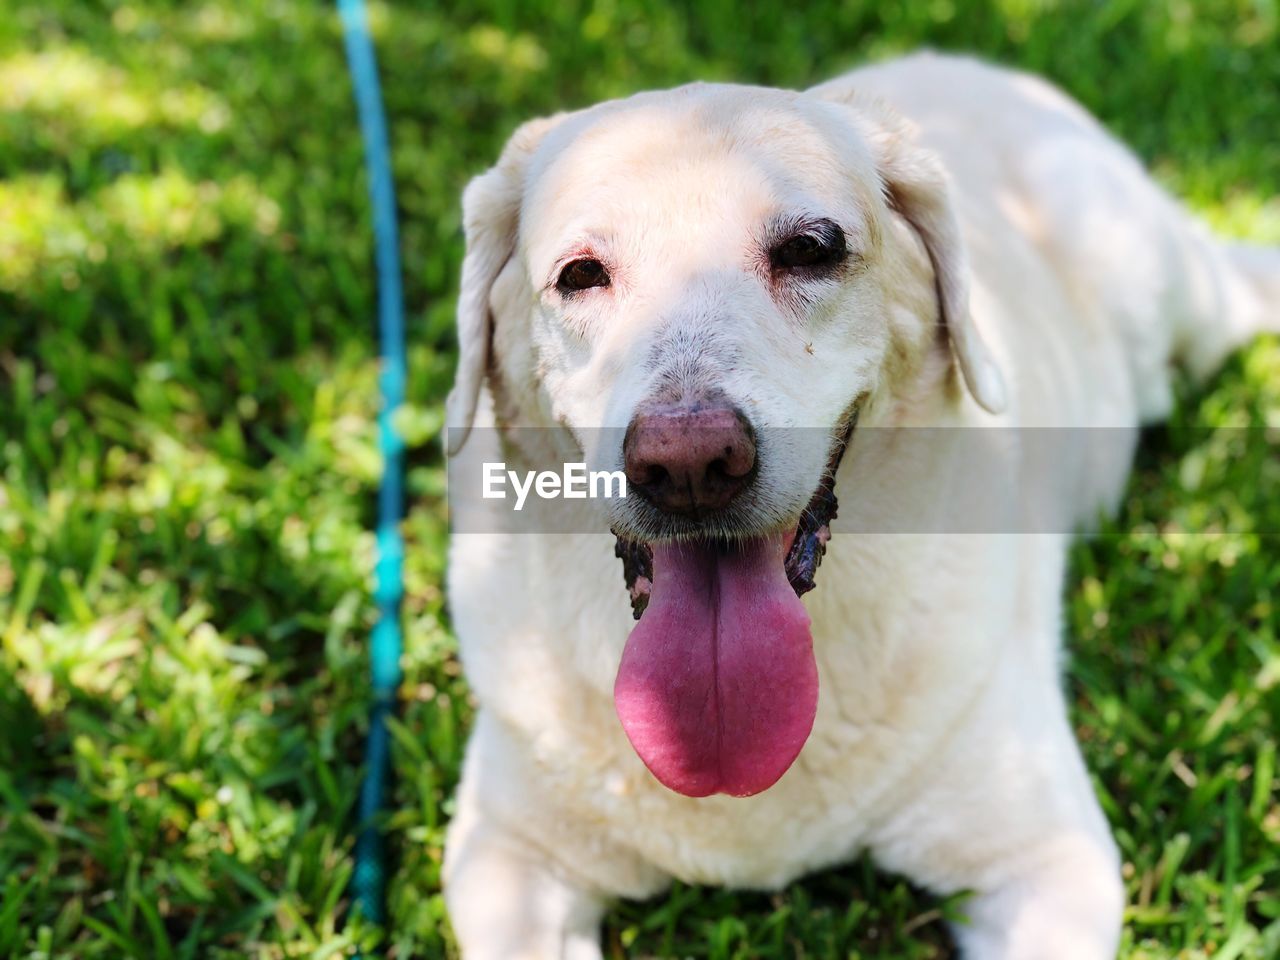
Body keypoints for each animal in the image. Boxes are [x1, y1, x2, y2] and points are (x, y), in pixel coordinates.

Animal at [437, 54, 1269, 960]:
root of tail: (978, 67)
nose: (689, 464)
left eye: (811, 249)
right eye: (580, 274)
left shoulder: (1048, 859)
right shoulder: (505, 860)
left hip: (1168, 283)